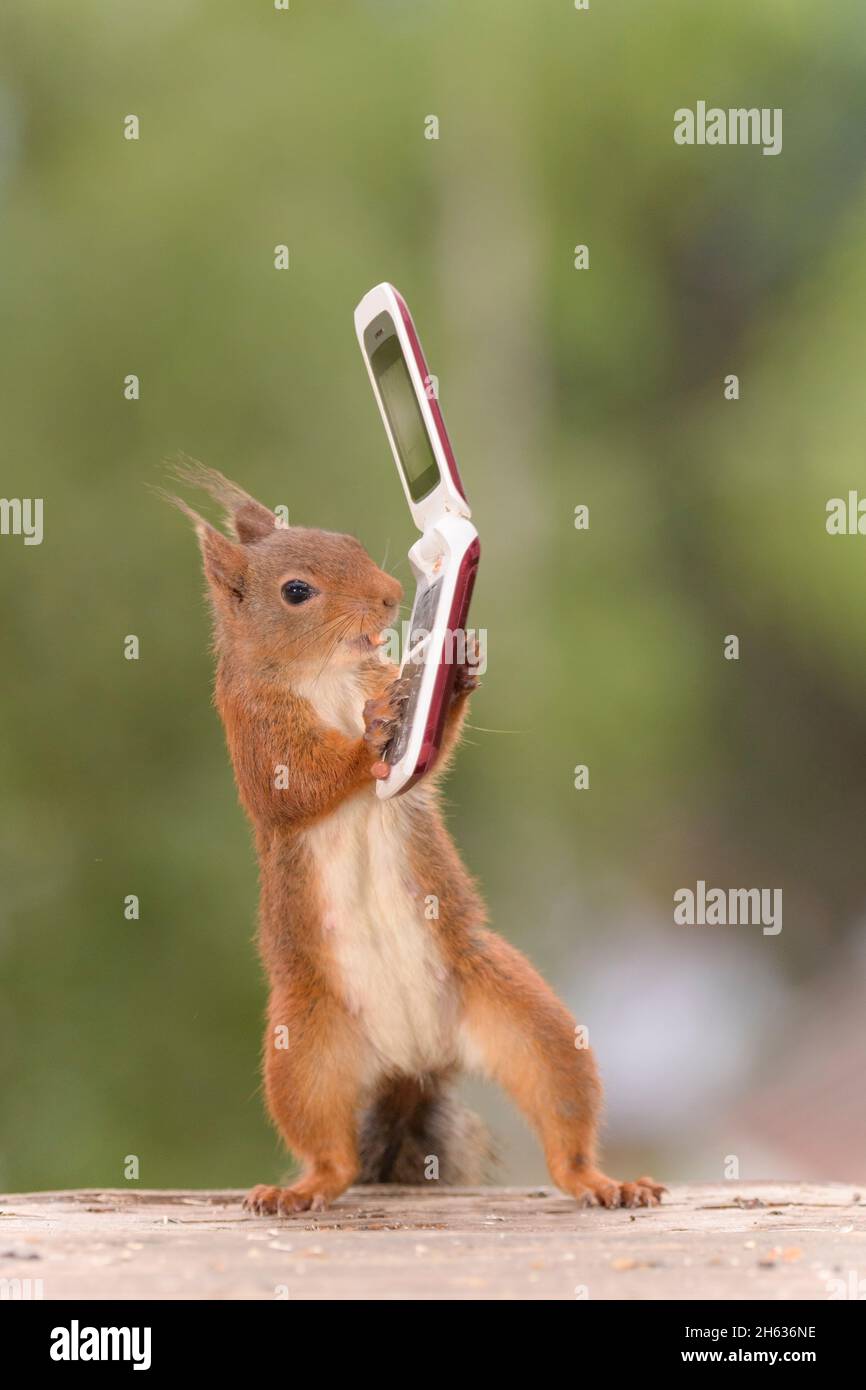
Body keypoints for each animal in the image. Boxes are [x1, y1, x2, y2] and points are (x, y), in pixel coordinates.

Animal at [170, 463, 665, 1214]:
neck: (327, 676)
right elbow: (295, 788)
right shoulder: (253, 730)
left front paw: (454, 673)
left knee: (564, 1117)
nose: (393, 595)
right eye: (296, 591)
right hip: (304, 1051)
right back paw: (300, 1189)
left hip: (524, 1019)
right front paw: (372, 735)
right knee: (332, 1154)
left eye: (349, 540)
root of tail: (414, 1061)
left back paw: (605, 1181)